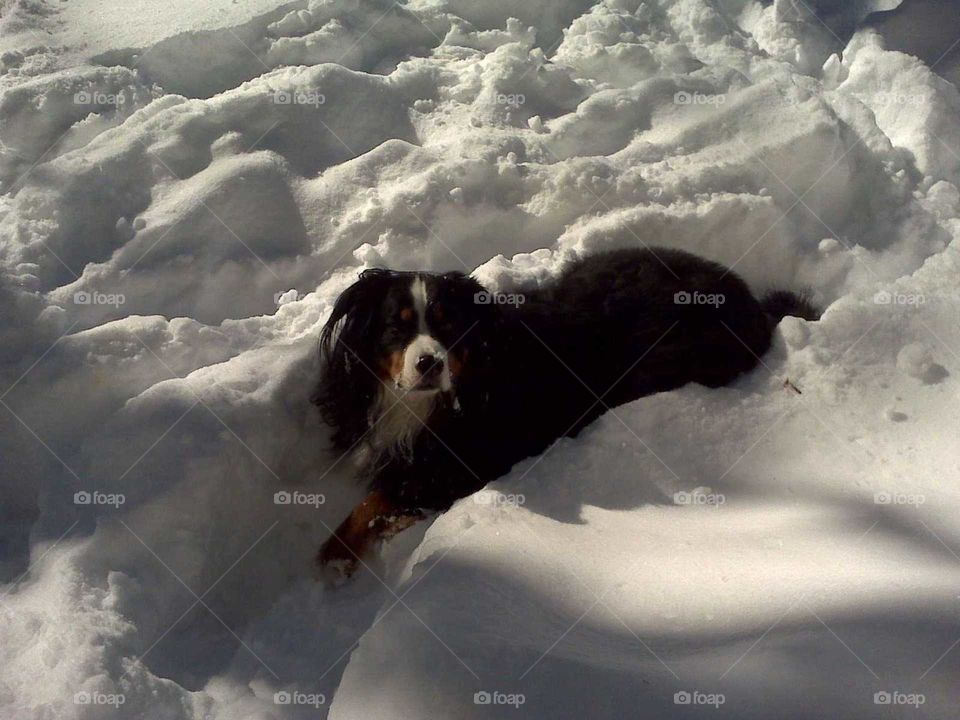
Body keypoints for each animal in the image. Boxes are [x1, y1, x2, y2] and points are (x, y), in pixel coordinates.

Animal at [310, 245, 816, 576]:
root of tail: (745, 296)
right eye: (396, 328)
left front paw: (334, 555)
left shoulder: (461, 467)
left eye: (450, 327)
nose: (429, 363)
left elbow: (378, 499)